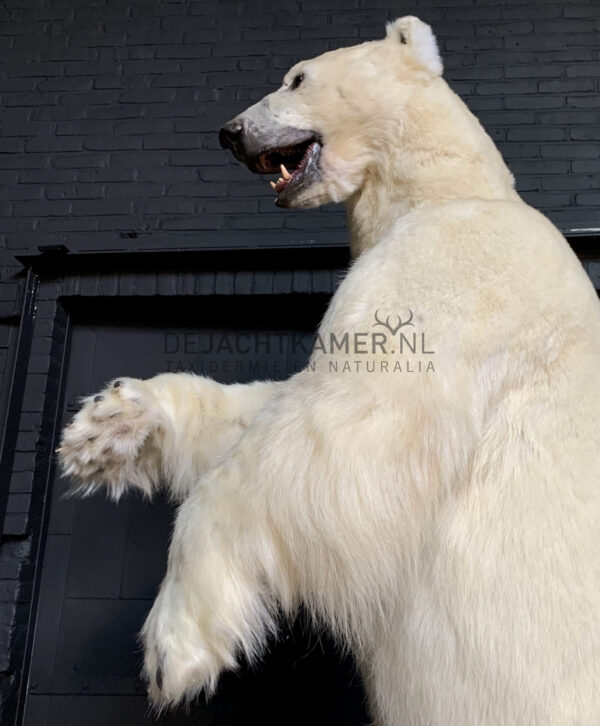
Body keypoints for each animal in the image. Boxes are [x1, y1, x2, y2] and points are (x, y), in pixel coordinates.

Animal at [58, 17, 600, 726]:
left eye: (295, 77)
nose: (230, 131)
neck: (445, 188)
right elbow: (270, 404)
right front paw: (109, 427)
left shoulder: (459, 264)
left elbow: (340, 433)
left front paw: (174, 645)